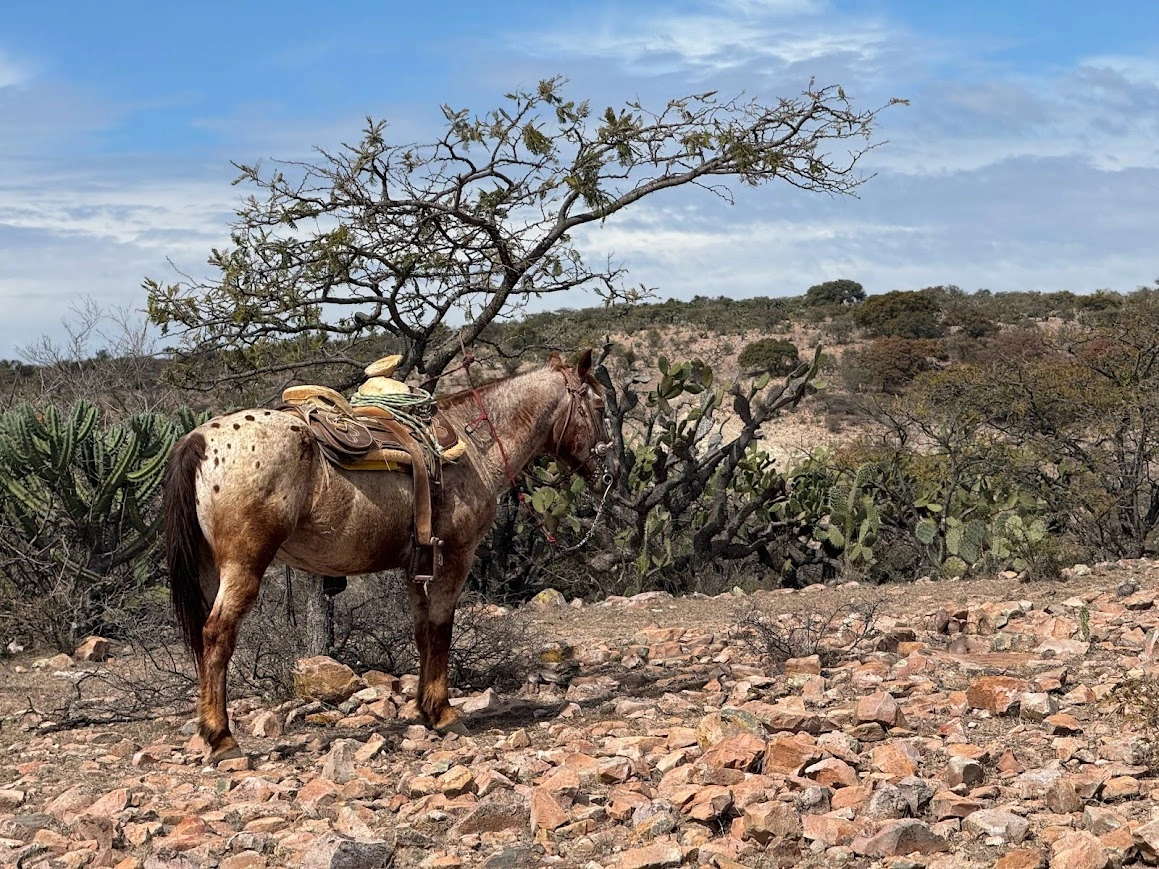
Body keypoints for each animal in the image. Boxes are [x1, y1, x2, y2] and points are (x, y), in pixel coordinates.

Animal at [162, 349, 611, 762]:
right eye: (600, 406)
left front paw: (426, 711)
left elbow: (423, 634)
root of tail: (198, 440)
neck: (473, 447)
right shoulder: (456, 559)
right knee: (217, 635)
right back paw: (222, 738)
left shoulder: (418, 568)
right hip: (243, 567)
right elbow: (442, 631)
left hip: (210, 570)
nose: (609, 474)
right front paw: (445, 714)